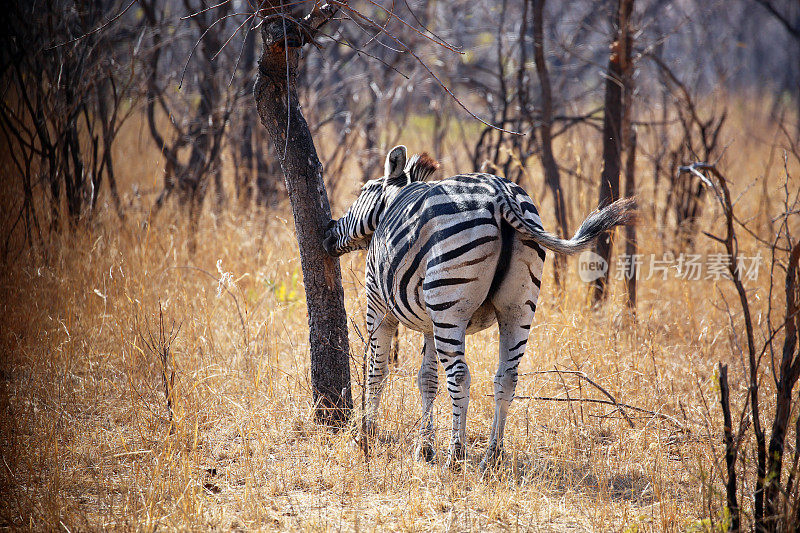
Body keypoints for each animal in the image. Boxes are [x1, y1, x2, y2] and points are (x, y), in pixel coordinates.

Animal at [322, 145, 636, 470]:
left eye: (363, 191)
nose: (327, 231)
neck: (392, 204)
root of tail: (500, 196)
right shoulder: (429, 323)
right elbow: (427, 379)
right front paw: (425, 448)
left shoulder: (379, 305)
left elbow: (377, 370)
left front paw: (366, 435)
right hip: (517, 305)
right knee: (507, 376)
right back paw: (492, 456)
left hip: (449, 307)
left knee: (460, 376)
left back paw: (456, 456)